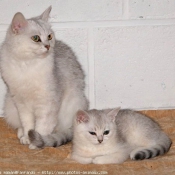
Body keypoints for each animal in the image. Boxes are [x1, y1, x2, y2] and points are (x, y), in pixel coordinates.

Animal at [0, 6, 88, 149]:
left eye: (49, 36)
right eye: (36, 38)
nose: (48, 46)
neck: (27, 65)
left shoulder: (48, 103)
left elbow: (43, 126)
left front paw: (37, 142)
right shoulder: (21, 103)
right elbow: (28, 123)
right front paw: (28, 137)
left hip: (74, 103)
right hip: (9, 105)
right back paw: (21, 133)